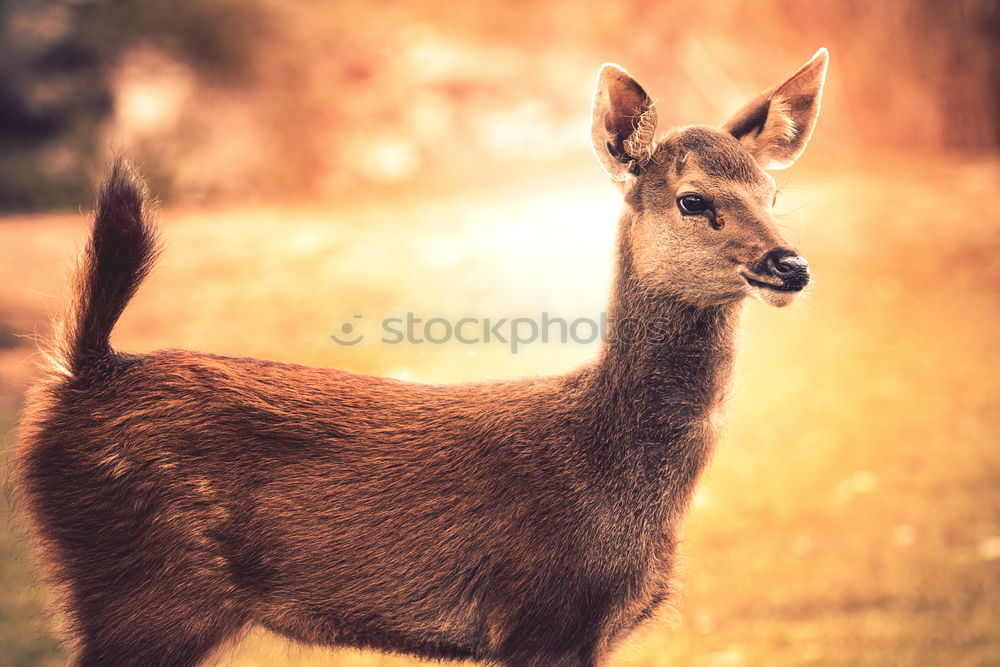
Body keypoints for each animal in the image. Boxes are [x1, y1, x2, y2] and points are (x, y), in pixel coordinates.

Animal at [15, 51, 828, 667]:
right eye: (692, 200)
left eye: (773, 192)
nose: (789, 265)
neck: (615, 477)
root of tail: (84, 370)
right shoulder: (540, 613)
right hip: (143, 587)